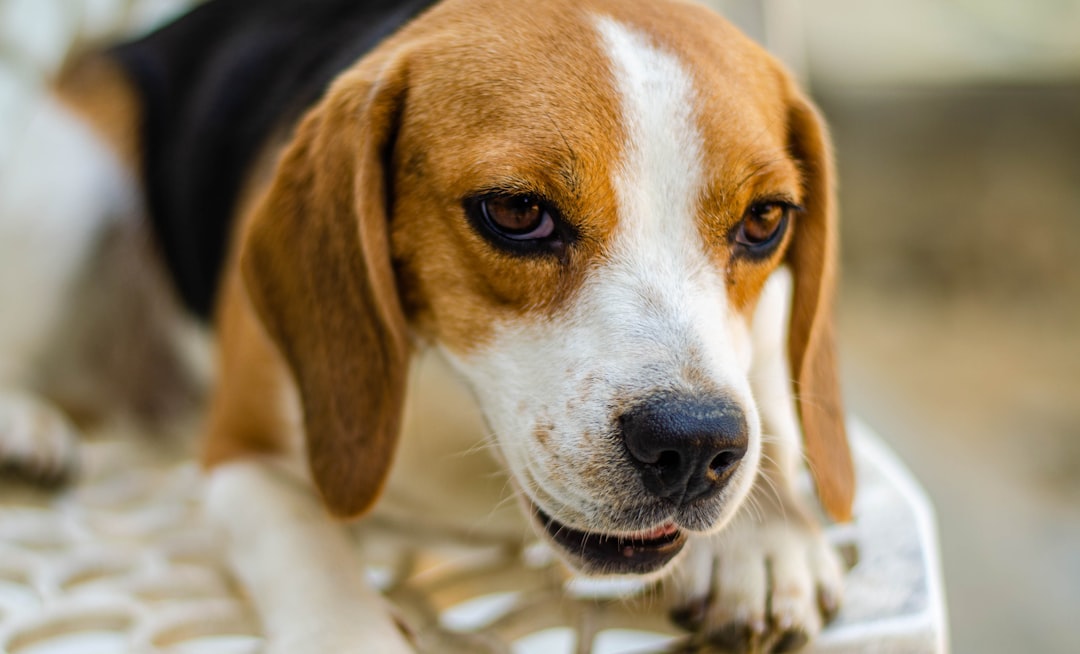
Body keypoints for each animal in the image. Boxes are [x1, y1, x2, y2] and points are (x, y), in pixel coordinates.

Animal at [0, 0, 855, 651]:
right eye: (516, 211)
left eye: (765, 221)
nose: (695, 445)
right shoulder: (241, 454)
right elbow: (312, 564)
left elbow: (770, 399)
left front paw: (767, 531)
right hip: (73, 193)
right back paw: (25, 429)